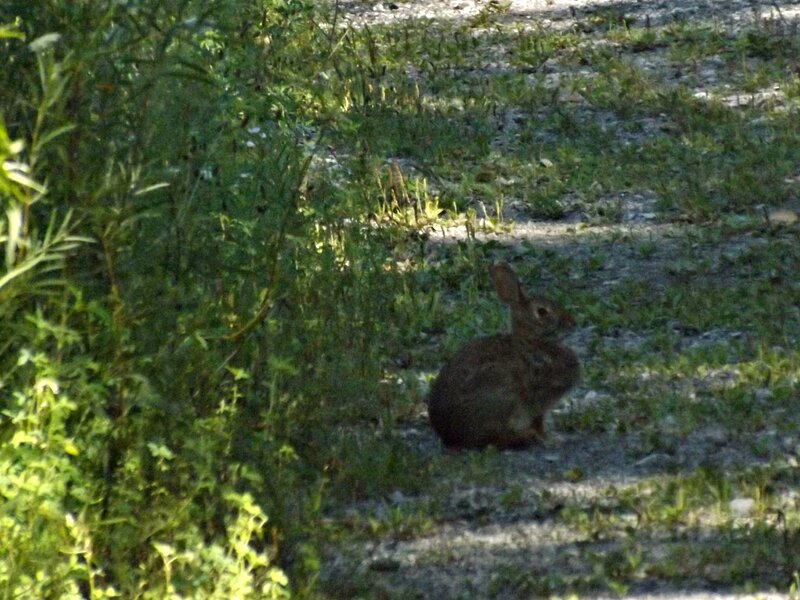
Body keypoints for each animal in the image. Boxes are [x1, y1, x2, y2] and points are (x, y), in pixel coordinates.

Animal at [427, 261, 579, 450]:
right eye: (542, 312)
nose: (572, 322)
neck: (532, 342)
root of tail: (449, 435)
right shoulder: (538, 399)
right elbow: (539, 422)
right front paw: (550, 439)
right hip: (501, 395)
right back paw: (526, 437)